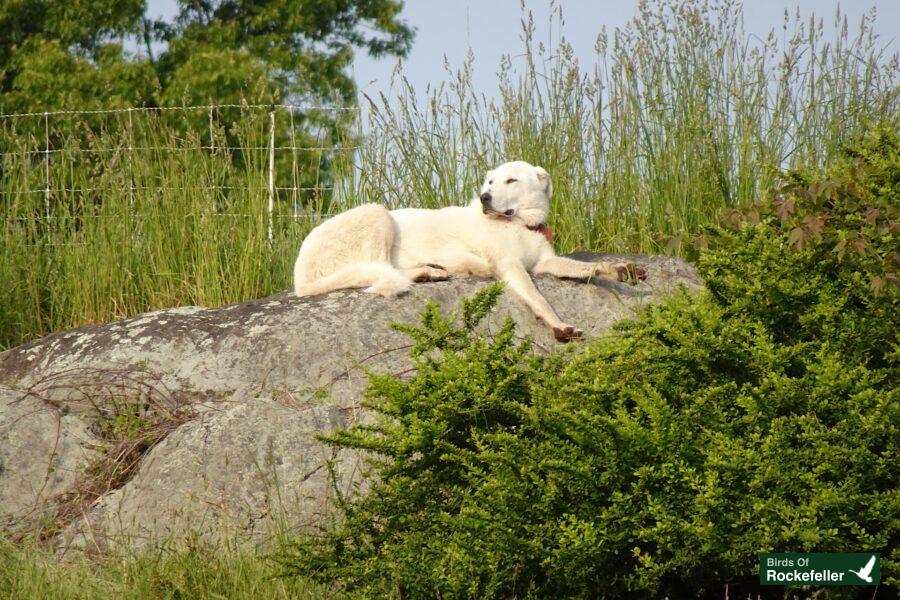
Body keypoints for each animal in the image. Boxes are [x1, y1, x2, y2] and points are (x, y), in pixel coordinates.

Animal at [296, 162, 648, 340]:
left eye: (510, 180)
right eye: (490, 182)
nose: (484, 198)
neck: (520, 223)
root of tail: (300, 279)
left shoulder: (545, 263)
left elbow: (589, 269)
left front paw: (622, 271)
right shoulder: (510, 267)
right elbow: (539, 300)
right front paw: (558, 326)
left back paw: (430, 271)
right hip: (377, 213)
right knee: (382, 273)